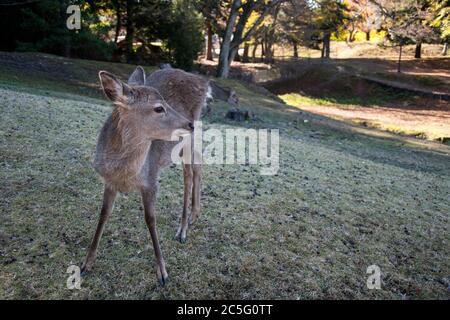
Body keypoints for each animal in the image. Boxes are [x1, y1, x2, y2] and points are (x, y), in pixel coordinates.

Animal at [81, 65, 211, 284]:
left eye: (166, 103)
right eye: (158, 108)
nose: (189, 124)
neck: (125, 172)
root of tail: (203, 82)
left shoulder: (150, 180)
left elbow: (150, 219)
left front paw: (162, 272)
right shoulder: (109, 181)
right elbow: (103, 214)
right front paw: (86, 264)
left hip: (187, 138)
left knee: (188, 174)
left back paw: (182, 230)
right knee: (198, 163)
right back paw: (195, 214)